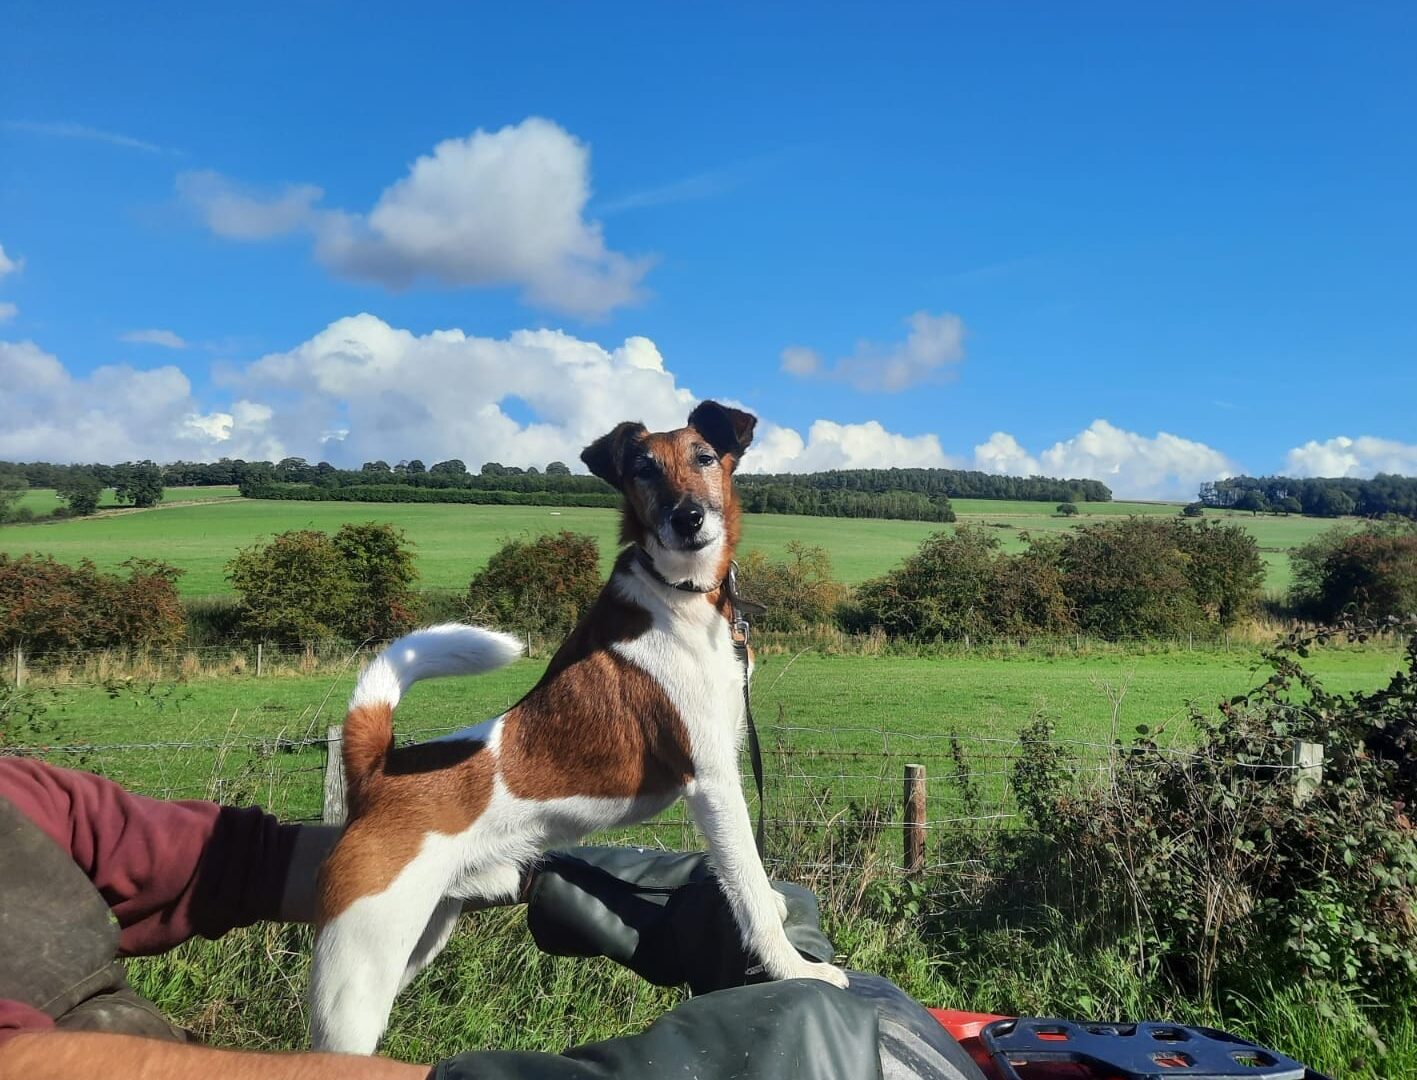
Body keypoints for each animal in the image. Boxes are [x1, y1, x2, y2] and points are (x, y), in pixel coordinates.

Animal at [308, 399, 838, 1048]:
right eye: (643, 470)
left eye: (705, 458)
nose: (687, 519)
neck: (679, 592)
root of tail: (378, 771)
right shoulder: (713, 781)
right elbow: (748, 888)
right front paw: (795, 967)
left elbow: (751, 882)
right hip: (354, 977)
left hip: (420, 935)